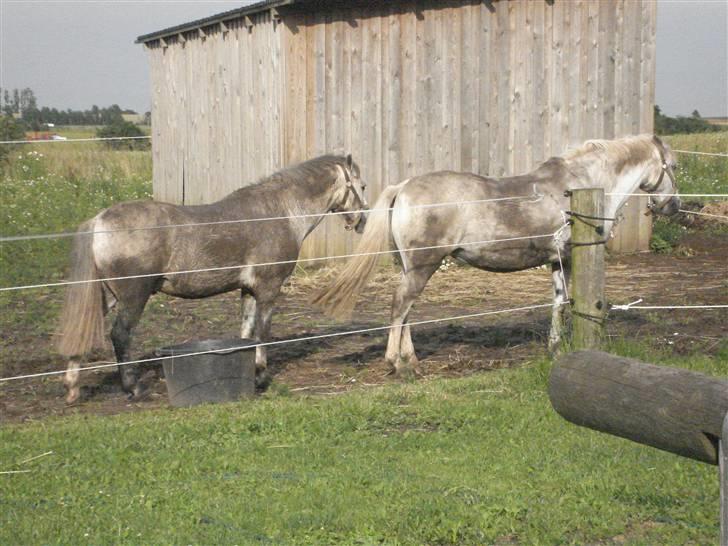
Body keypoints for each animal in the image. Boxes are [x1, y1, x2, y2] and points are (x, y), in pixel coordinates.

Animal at [57, 154, 368, 404]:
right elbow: (263, 332)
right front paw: (261, 376)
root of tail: (99, 221)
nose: (363, 221)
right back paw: (133, 388)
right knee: (120, 335)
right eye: (362, 186)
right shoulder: (268, 288)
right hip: (134, 297)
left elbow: (246, 333)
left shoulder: (248, 290)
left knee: (80, 331)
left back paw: (72, 390)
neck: (281, 212)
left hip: (106, 296)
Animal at [313, 135, 681, 377]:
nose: (673, 206)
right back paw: (398, 364)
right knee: (400, 307)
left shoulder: (556, 261)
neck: (580, 184)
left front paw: (554, 348)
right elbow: (568, 302)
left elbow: (558, 303)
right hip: (421, 266)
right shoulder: (570, 257)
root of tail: (403, 187)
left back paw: (411, 360)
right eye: (673, 166)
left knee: (406, 312)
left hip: (411, 268)